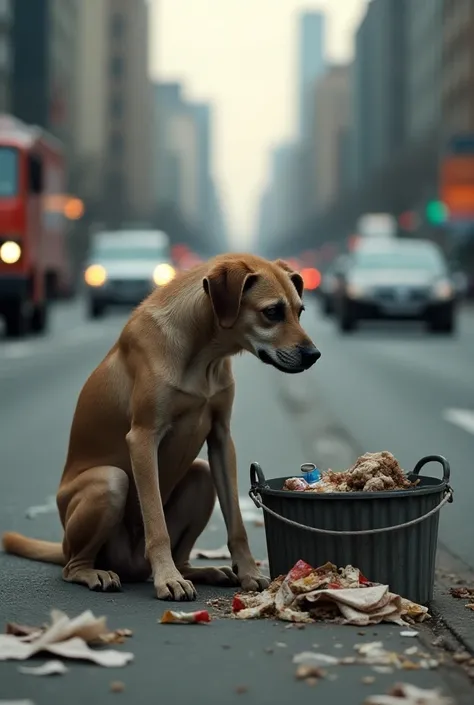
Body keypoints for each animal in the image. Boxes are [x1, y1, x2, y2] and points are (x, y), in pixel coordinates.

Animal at [1, 253, 320, 600]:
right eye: (272, 312)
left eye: (300, 311)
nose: (314, 355)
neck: (203, 351)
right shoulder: (143, 439)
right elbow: (156, 524)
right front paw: (167, 578)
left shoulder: (221, 438)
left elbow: (236, 522)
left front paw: (248, 572)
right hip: (108, 483)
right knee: (72, 566)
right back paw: (96, 573)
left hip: (201, 476)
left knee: (185, 546)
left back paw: (204, 571)